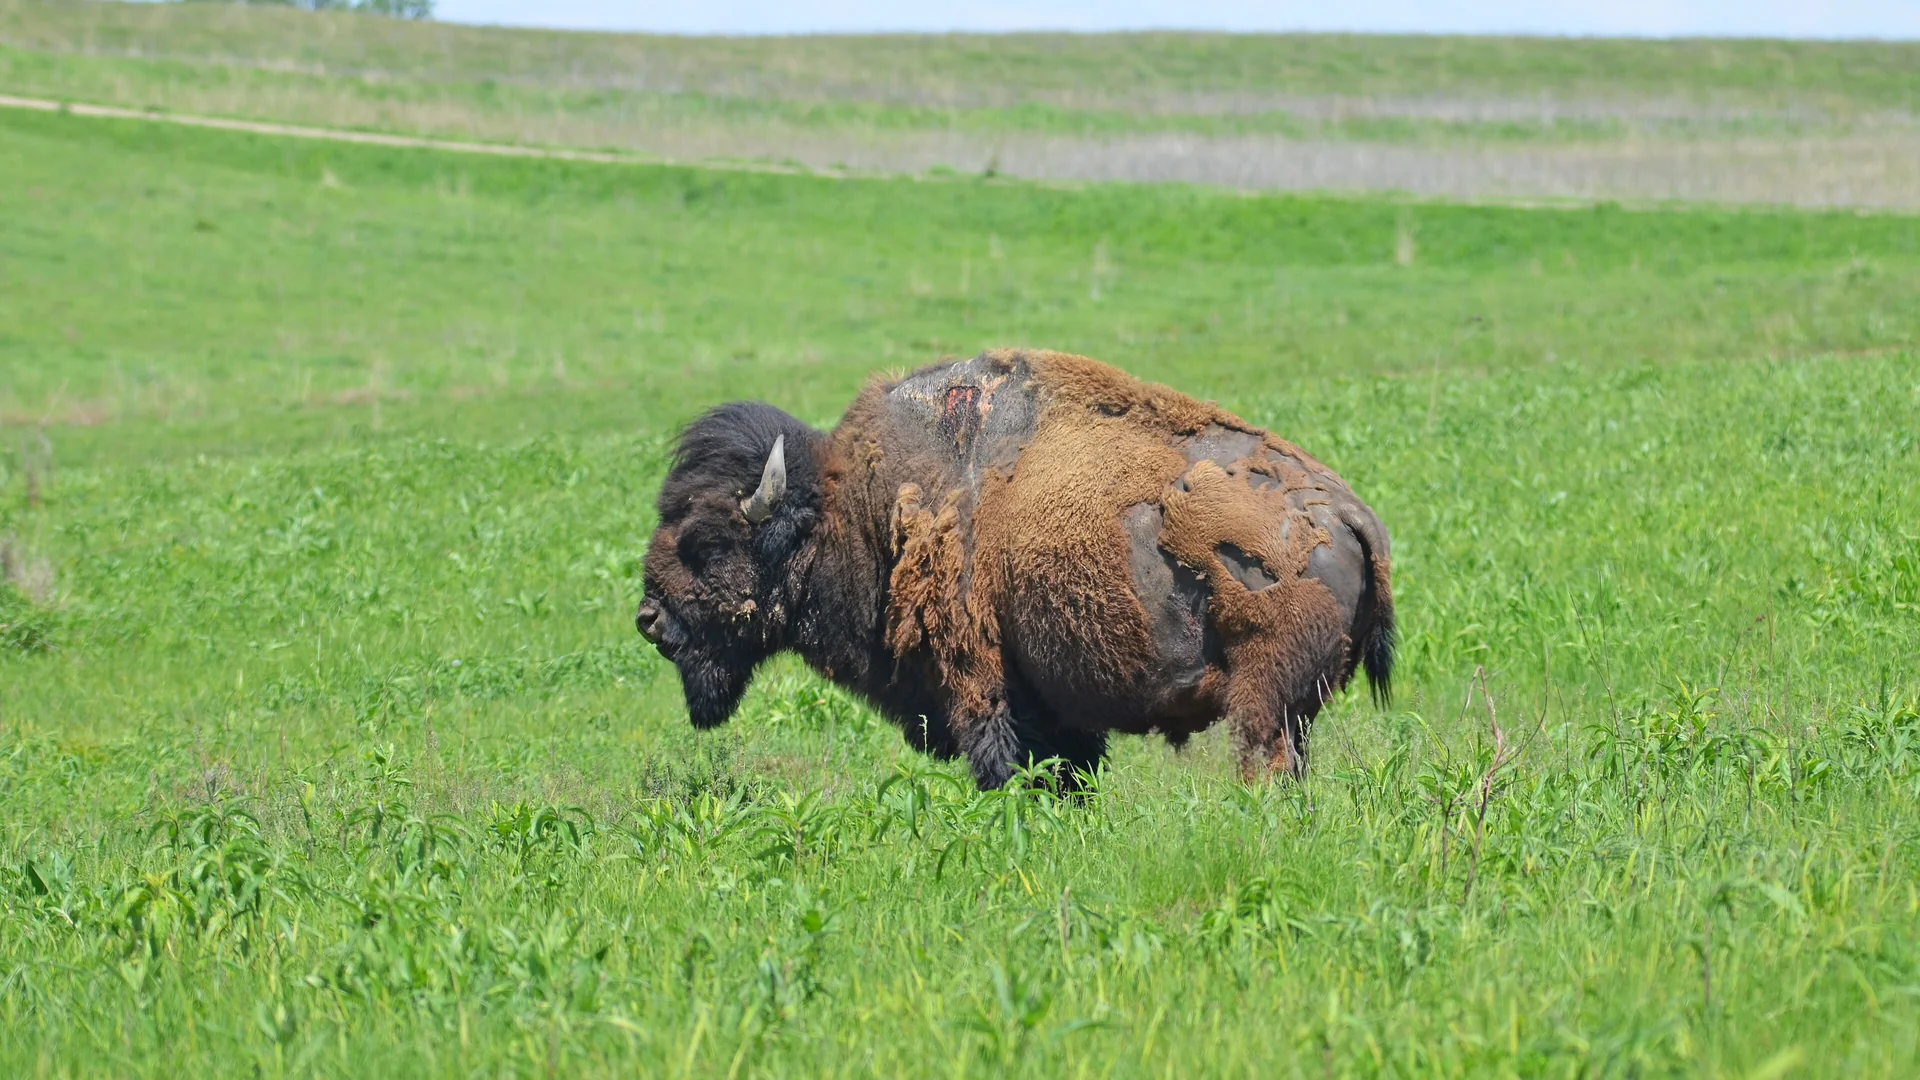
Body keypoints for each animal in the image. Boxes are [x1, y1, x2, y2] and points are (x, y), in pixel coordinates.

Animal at [636, 349, 1393, 788]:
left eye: (707, 544)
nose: (649, 620)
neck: (853, 504)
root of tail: (1353, 515)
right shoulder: (1054, 704)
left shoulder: (978, 678)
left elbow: (1000, 761)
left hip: (1266, 702)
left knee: (1265, 761)